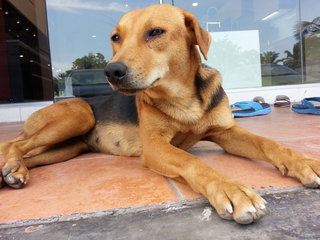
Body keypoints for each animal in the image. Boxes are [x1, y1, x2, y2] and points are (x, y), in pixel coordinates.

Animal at [0, 4, 320, 225]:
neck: (182, 98)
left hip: (69, 147)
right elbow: (193, 161)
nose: (111, 72)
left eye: (155, 32)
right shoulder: (155, 146)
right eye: (116, 37)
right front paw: (232, 190)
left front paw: (306, 163)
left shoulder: (226, 132)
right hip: (77, 115)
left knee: (30, 154)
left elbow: (271, 144)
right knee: (12, 143)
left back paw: (13, 173)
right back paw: (12, 165)